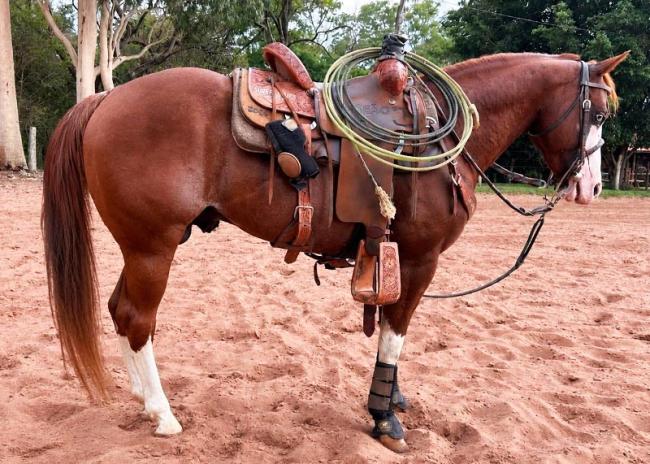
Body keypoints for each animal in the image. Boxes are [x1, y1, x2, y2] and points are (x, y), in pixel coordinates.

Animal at [42, 51, 627, 453]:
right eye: (598, 114)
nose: (593, 188)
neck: (441, 140)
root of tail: (106, 99)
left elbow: (391, 327)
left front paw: (393, 400)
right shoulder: (419, 259)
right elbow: (396, 332)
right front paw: (385, 417)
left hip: (141, 247)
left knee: (119, 313)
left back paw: (142, 399)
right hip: (152, 248)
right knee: (138, 319)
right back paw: (163, 414)